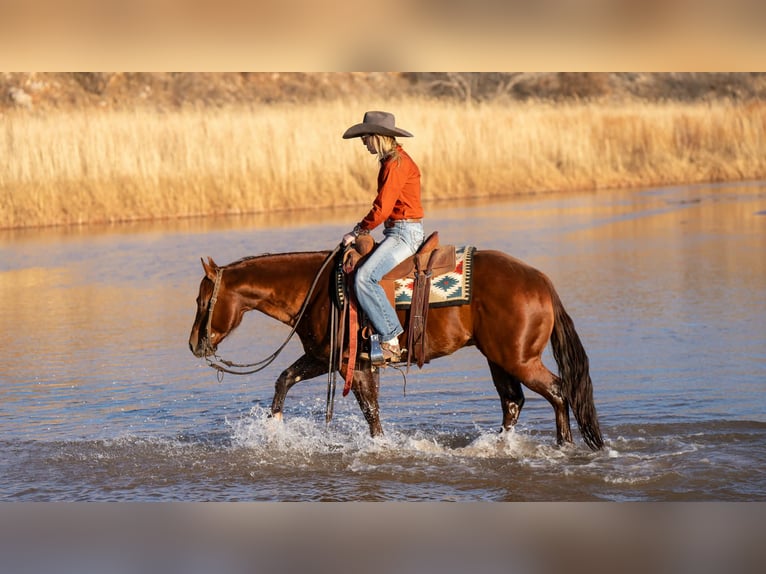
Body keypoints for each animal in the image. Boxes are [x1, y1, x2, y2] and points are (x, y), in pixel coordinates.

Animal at [188, 247, 604, 450]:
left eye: (201, 300)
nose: (194, 344)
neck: (319, 289)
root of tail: (541, 281)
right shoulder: (326, 358)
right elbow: (283, 379)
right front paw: (273, 429)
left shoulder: (350, 364)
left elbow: (371, 414)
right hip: (499, 358)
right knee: (513, 402)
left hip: (518, 358)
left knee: (558, 391)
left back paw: (564, 445)